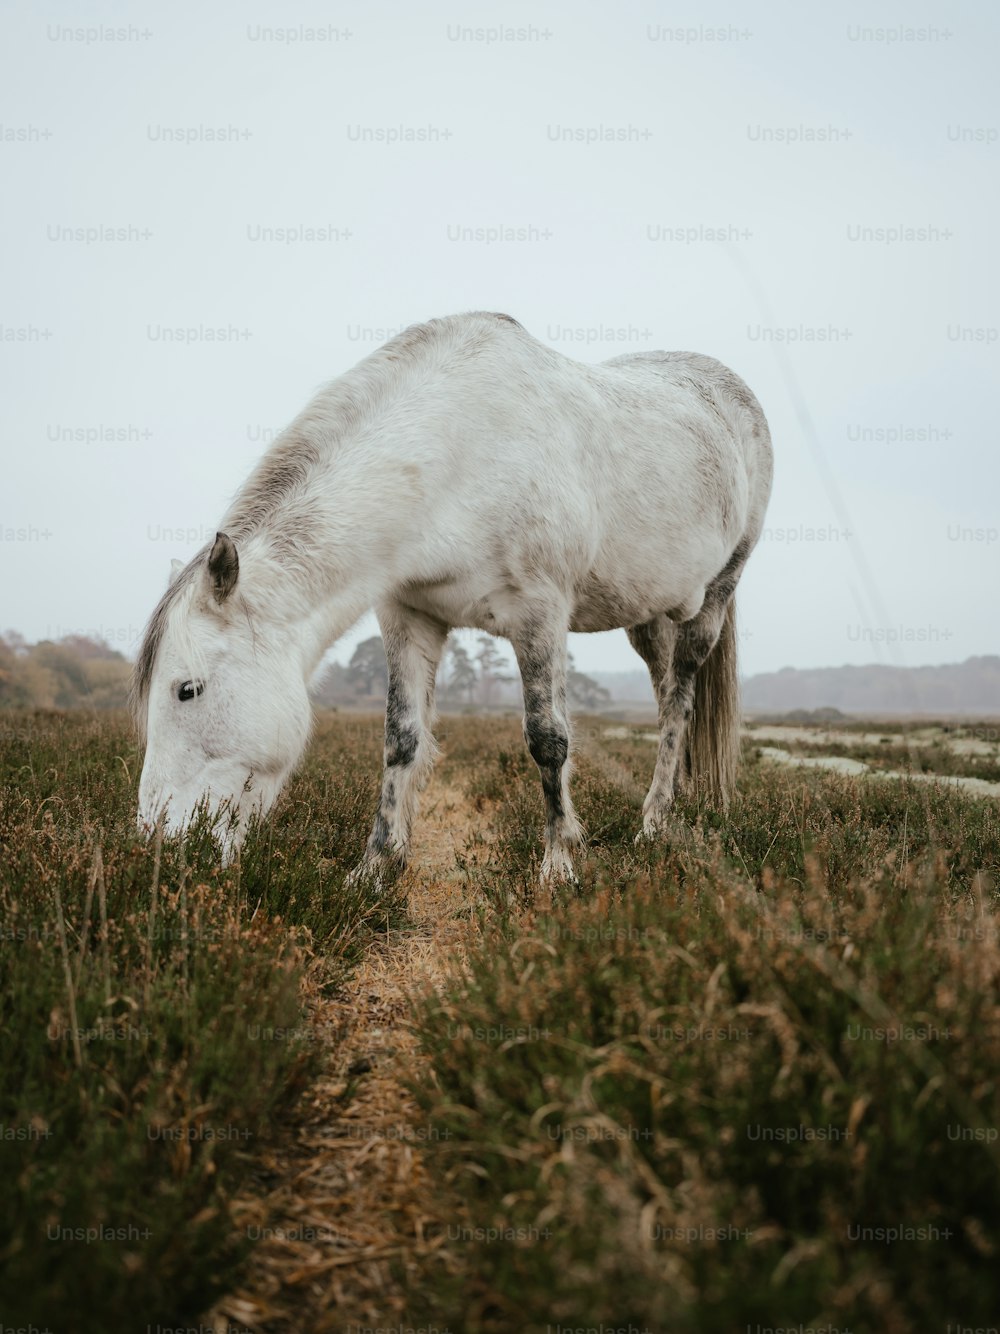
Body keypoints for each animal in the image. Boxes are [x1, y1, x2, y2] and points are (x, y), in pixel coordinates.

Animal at [133, 309, 773, 875]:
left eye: (187, 690)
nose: (160, 847)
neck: (460, 453)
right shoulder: (409, 616)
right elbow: (401, 739)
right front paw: (376, 867)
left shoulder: (539, 617)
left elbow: (548, 740)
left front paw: (559, 864)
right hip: (648, 614)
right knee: (666, 696)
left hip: (715, 595)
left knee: (680, 699)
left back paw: (654, 822)